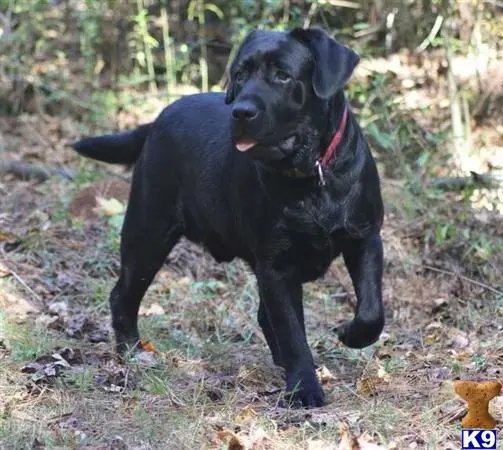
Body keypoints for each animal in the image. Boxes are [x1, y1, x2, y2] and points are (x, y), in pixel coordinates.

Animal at [73, 28, 384, 408]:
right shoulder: (276, 263)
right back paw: (132, 352)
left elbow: (371, 311)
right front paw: (304, 388)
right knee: (123, 295)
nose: (241, 111)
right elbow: (293, 332)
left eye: (283, 75)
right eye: (239, 75)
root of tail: (158, 119)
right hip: (148, 233)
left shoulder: (365, 237)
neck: (312, 175)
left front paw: (349, 335)